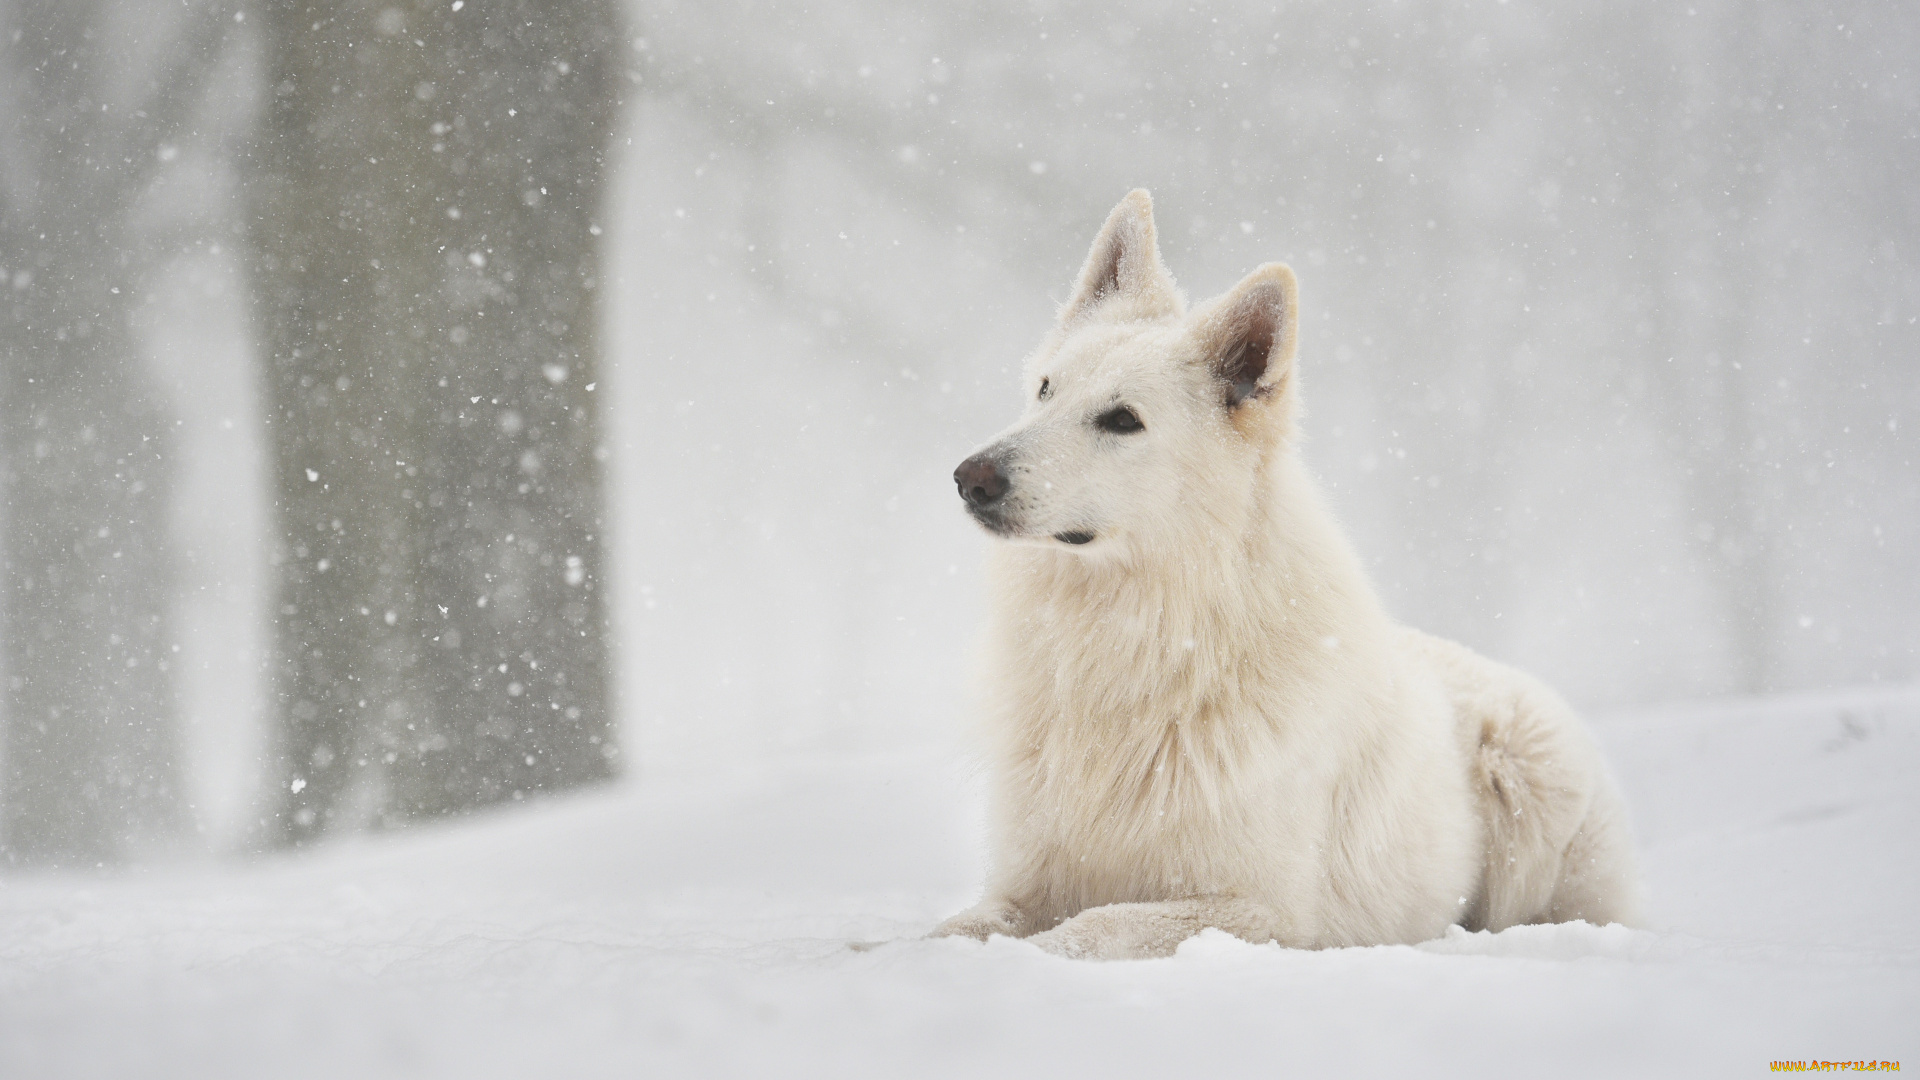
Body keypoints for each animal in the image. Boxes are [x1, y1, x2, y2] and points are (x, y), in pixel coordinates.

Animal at [936, 189, 1643, 953]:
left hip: (1533, 798)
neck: (1144, 642)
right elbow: (959, 927)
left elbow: (1097, 925)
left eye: (1123, 420)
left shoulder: (1266, 912)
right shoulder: (1025, 882)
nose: (970, 478)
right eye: (1045, 390)